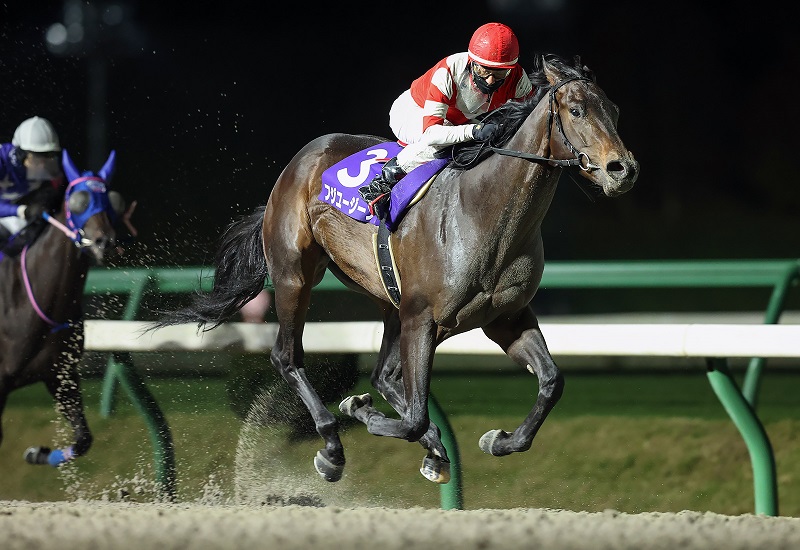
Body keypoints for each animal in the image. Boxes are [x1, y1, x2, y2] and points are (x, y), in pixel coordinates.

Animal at [0, 149, 129, 468]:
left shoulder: (61, 375)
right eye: (78, 200)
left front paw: (37, 453)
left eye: (113, 200)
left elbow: (84, 438)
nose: (105, 242)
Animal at [153, 53, 639, 485]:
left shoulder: (505, 318)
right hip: (296, 276)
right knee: (288, 357)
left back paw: (430, 446)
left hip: (390, 302)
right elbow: (413, 416)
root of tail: (298, 162)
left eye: (614, 110)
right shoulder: (422, 317)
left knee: (384, 376)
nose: (623, 169)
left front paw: (499, 440)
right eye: (576, 110)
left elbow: (551, 381)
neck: (483, 212)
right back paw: (334, 445)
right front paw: (359, 411)